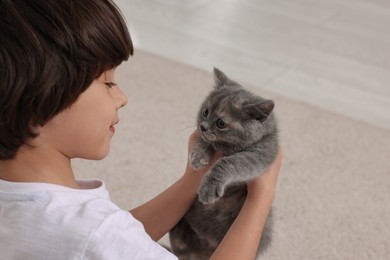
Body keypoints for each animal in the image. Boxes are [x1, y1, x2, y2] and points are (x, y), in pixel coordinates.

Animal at [169, 68, 278, 258]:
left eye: (221, 123)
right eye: (205, 112)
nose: (204, 126)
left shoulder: (261, 154)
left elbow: (231, 162)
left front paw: (209, 187)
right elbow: (203, 140)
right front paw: (199, 156)